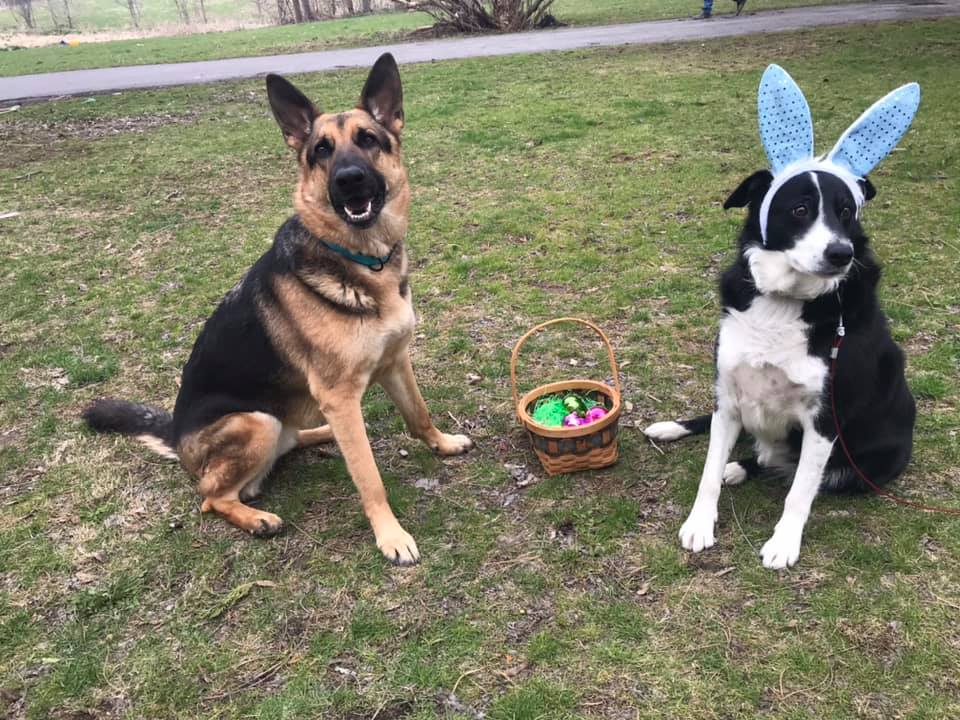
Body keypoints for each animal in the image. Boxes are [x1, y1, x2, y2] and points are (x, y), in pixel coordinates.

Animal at [83, 54, 472, 565]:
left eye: (368, 140)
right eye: (321, 151)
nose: (348, 180)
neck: (362, 260)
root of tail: (177, 436)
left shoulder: (394, 361)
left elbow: (418, 414)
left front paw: (442, 443)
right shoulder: (339, 394)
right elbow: (369, 476)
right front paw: (391, 535)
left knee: (293, 441)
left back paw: (321, 434)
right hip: (256, 422)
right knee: (211, 496)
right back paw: (256, 518)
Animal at [644, 66, 918, 568]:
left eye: (847, 212)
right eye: (800, 209)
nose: (841, 254)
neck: (783, 301)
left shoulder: (823, 420)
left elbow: (800, 492)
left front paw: (783, 543)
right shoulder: (728, 392)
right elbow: (708, 470)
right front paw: (699, 524)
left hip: (871, 461)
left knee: (789, 470)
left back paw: (744, 468)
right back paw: (681, 434)